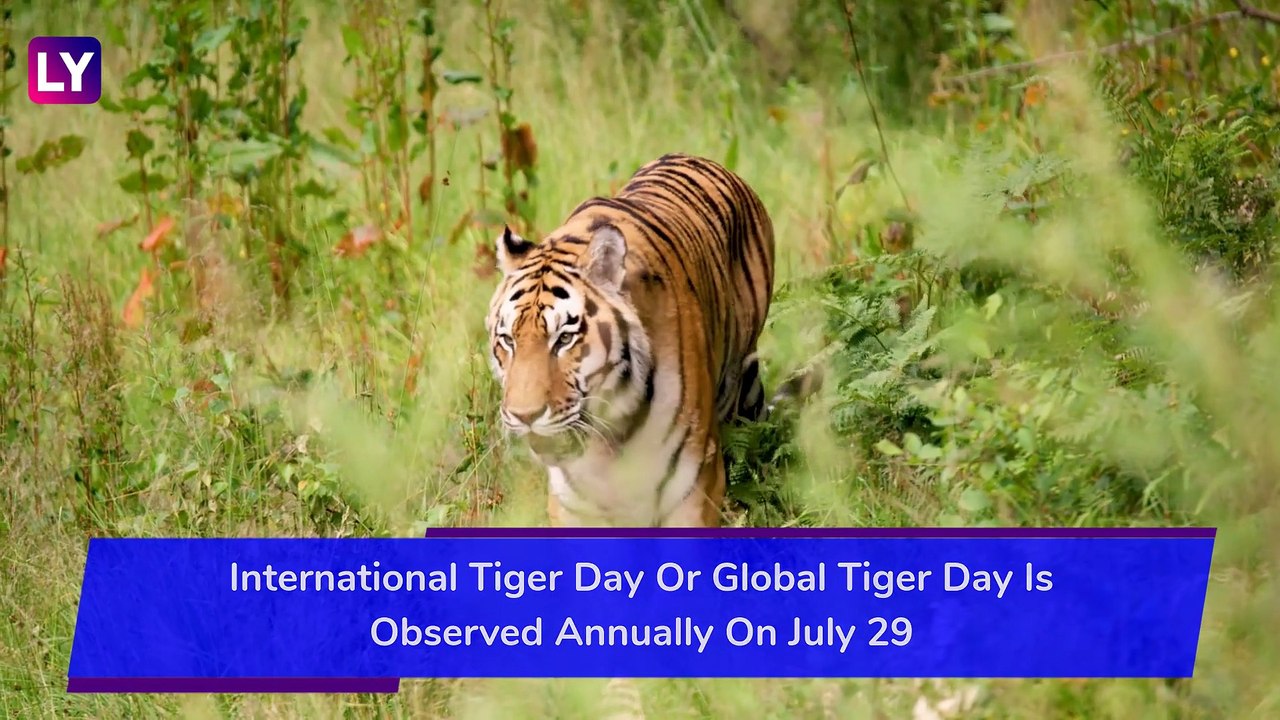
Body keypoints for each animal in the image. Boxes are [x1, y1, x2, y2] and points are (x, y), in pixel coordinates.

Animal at [485, 152, 809, 528]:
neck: (610, 436)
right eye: (508, 340)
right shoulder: (573, 502)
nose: (524, 416)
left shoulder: (694, 484)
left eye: (564, 338)